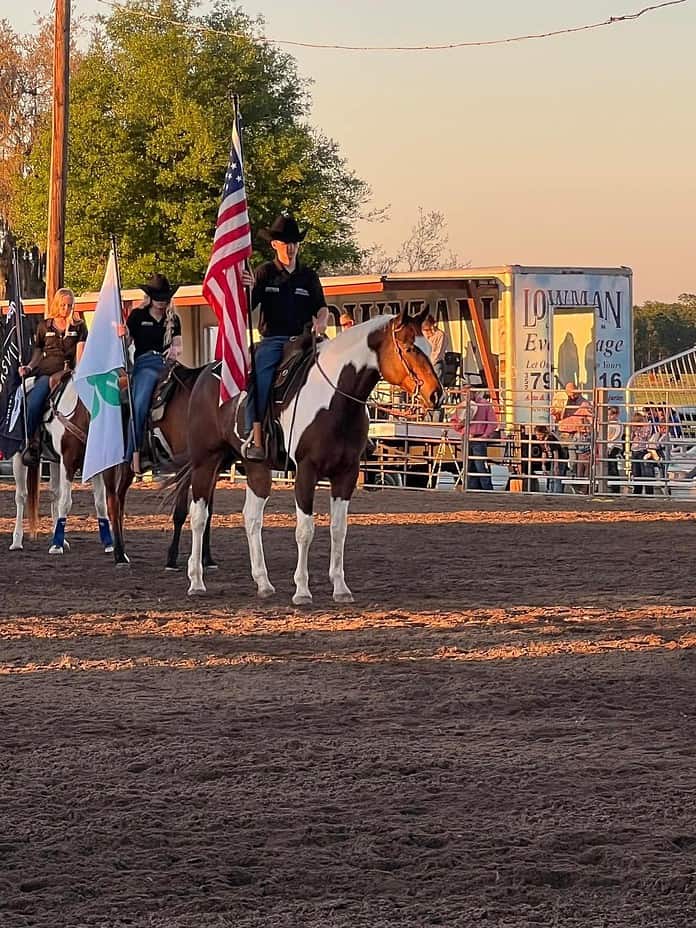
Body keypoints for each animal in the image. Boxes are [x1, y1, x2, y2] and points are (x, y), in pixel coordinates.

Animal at [9, 378, 113, 556]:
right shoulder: (68, 462)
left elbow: (100, 503)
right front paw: (56, 546)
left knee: (54, 494)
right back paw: (17, 541)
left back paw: (59, 538)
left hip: (54, 461)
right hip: (19, 457)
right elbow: (66, 502)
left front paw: (108, 543)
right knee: (21, 496)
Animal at [102, 364, 216, 568]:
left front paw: (207, 558)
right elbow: (180, 512)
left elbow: (208, 512)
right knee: (112, 502)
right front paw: (171, 558)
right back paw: (120, 555)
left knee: (120, 500)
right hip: (110, 463)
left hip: (128, 467)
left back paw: (122, 551)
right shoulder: (184, 468)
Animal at [179, 308, 440, 600]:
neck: (335, 399)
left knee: (251, 517)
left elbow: (339, 529)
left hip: (256, 467)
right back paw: (196, 581)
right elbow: (305, 530)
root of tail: (206, 373)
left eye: (428, 346)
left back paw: (263, 583)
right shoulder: (306, 470)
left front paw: (340, 587)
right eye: (408, 348)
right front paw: (302, 590)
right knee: (199, 516)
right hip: (206, 461)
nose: (436, 394)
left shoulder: (346, 473)